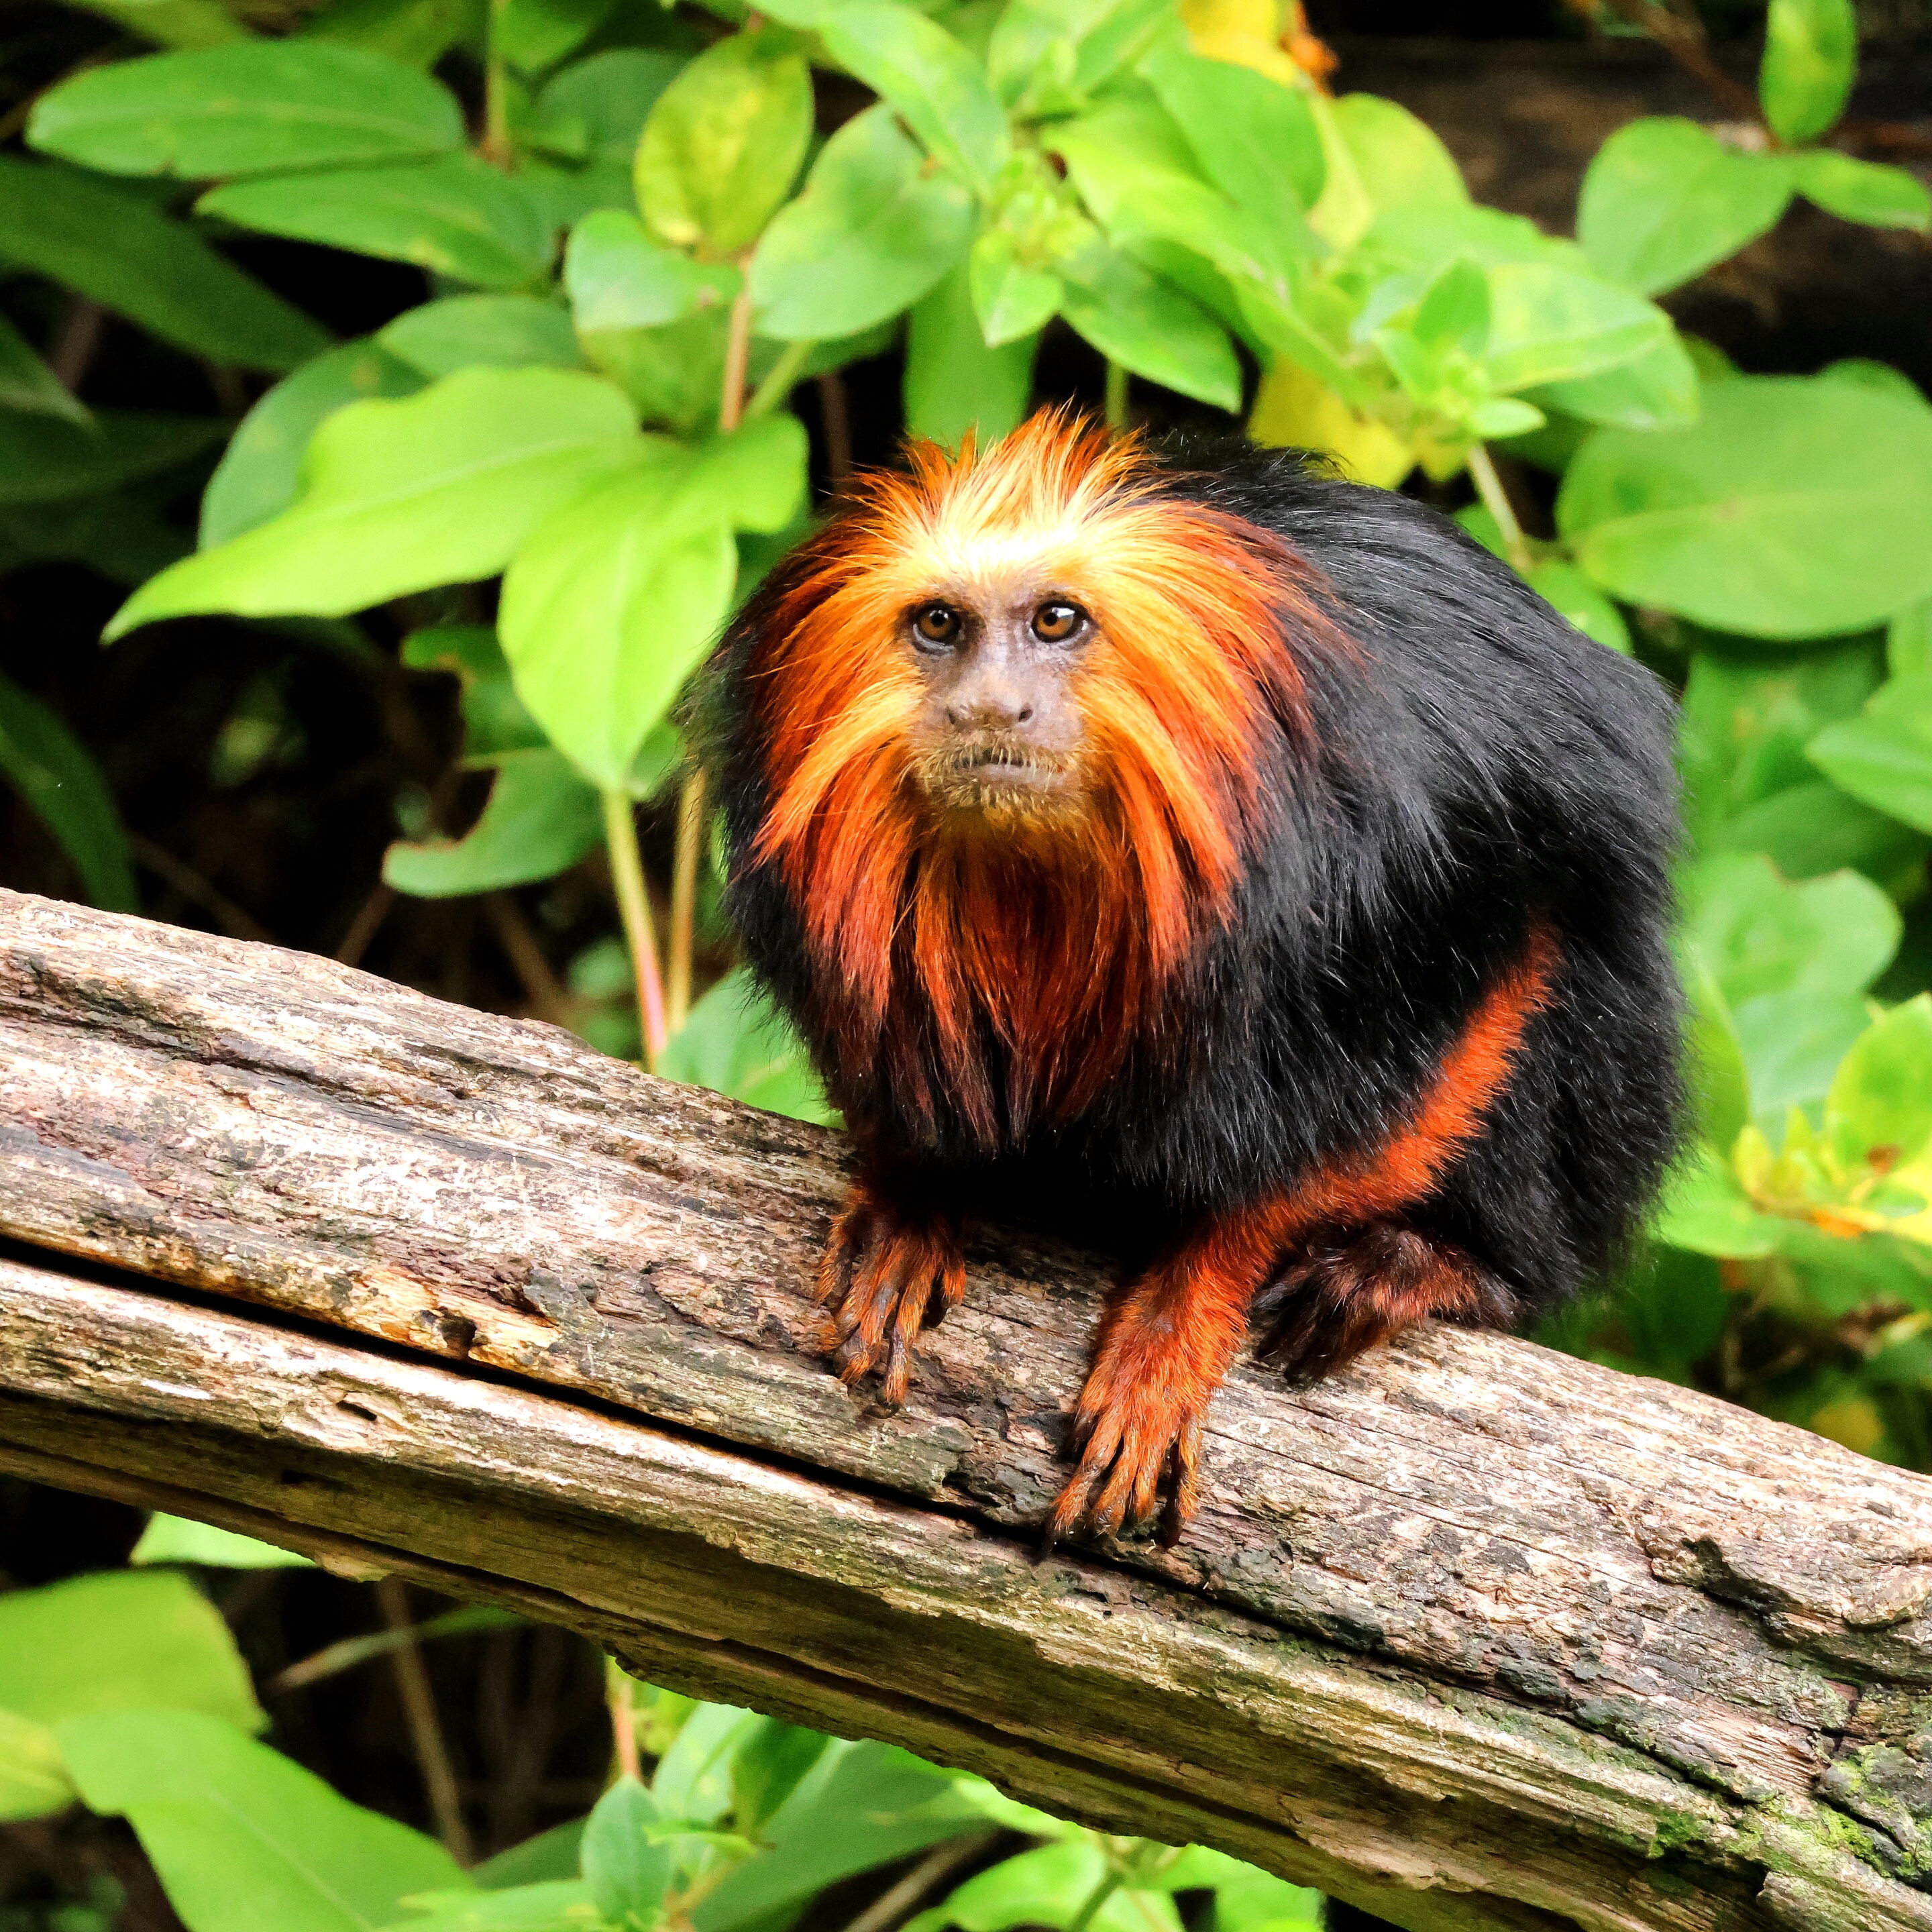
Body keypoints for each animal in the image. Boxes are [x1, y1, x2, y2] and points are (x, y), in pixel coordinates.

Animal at [698, 410, 1681, 1548]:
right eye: (940, 625)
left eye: (1057, 622)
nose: (988, 708)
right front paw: (914, 1190)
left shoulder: (1414, 851)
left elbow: (1480, 1005)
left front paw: (1192, 1303)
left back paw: (1443, 1266)